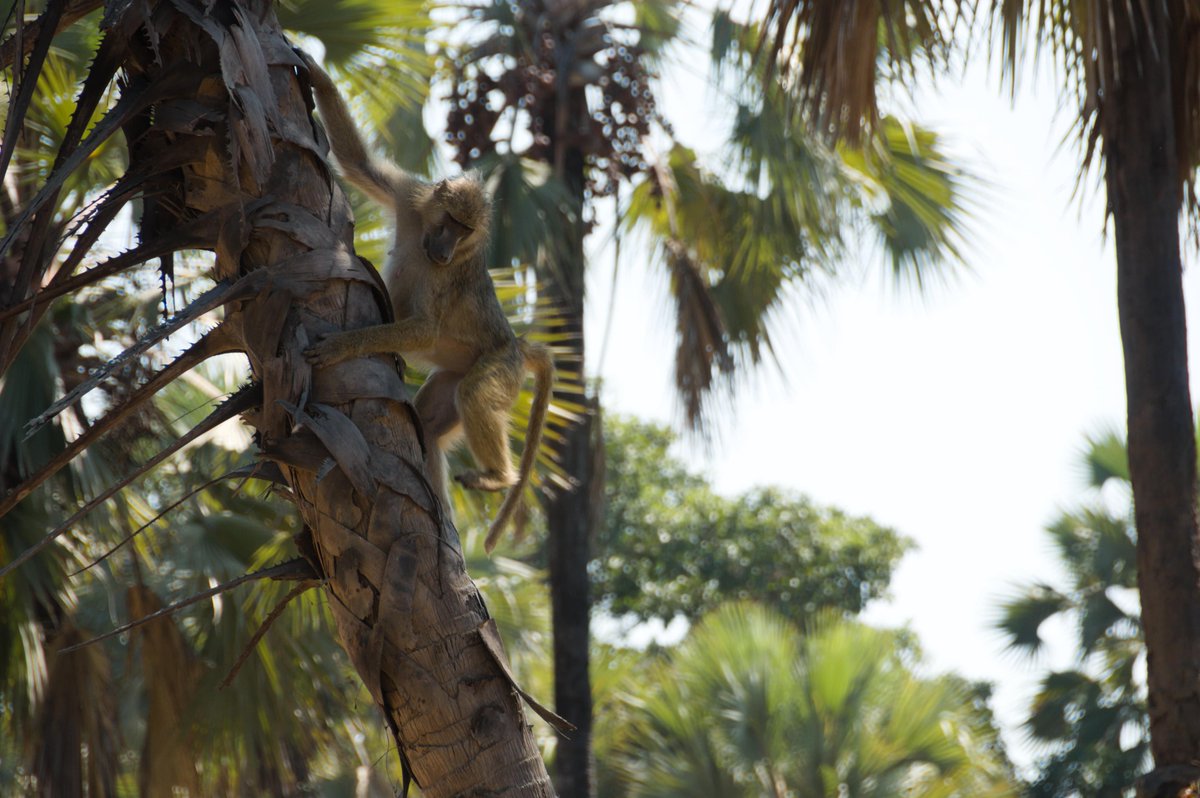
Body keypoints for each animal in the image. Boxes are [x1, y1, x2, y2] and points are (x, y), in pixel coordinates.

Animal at [299, 52, 554, 552]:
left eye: (466, 230)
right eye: (451, 220)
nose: (446, 249)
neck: (428, 238)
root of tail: (517, 344)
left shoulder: (447, 275)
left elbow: (424, 329)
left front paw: (341, 346)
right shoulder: (412, 199)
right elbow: (358, 164)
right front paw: (315, 73)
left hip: (501, 366)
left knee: (474, 393)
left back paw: (498, 478)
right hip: (457, 374)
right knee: (430, 425)